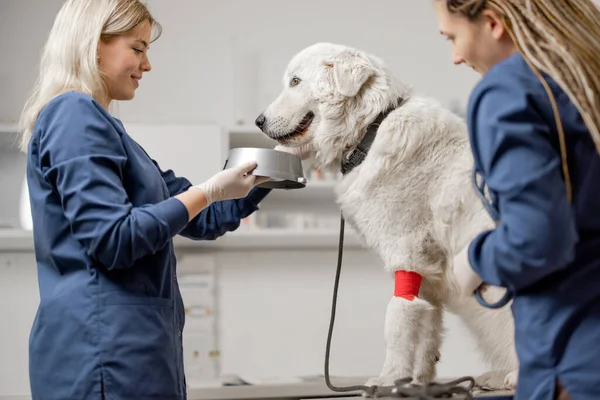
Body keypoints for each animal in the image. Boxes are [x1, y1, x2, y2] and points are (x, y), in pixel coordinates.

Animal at [255, 43, 516, 390]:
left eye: (295, 81)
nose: (258, 121)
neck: (370, 132)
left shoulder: (406, 254)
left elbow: (398, 320)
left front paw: (389, 378)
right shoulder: (428, 274)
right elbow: (428, 328)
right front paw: (418, 382)